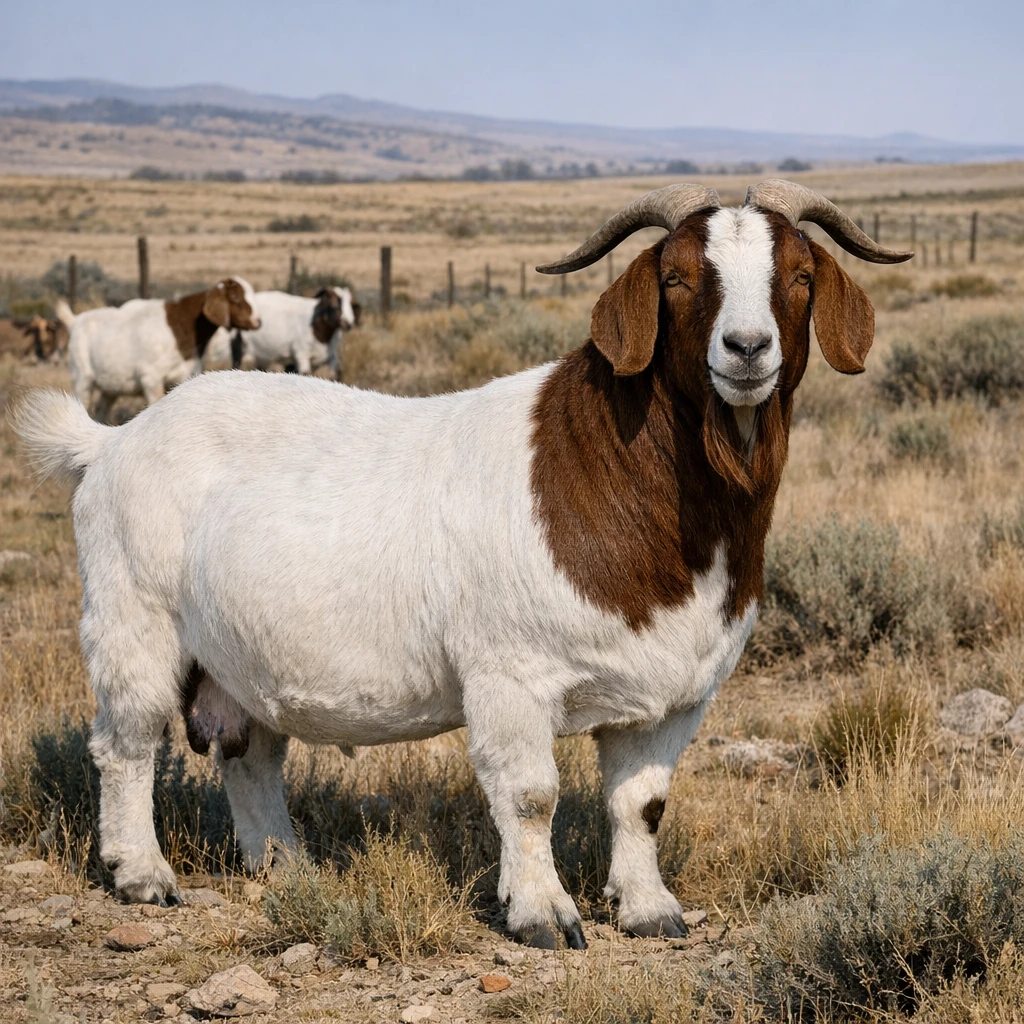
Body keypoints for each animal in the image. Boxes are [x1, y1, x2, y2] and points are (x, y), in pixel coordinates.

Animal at [64, 278, 259, 421]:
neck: (181, 327)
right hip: (82, 376)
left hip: (111, 386)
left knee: (101, 409)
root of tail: (76, 320)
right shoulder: (151, 378)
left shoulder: (185, 373)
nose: (257, 321)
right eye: (235, 297)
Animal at [207, 287, 357, 377]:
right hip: (241, 348)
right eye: (334, 306)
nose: (348, 323)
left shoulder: (330, 358)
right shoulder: (301, 354)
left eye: (351, 305)